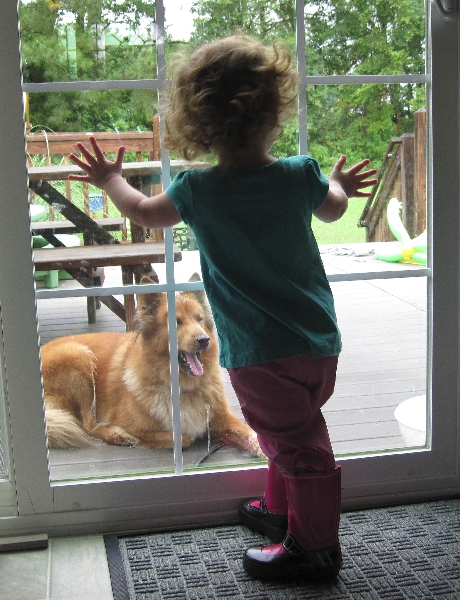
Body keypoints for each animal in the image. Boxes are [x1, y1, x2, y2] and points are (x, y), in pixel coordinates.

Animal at [41, 274, 264, 460]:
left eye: (199, 319)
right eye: (176, 322)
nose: (204, 340)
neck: (184, 387)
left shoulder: (222, 418)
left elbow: (250, 433)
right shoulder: (135, 424)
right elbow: (184, 438)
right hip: (78, 358)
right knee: (88, 424)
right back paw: (117, 435)